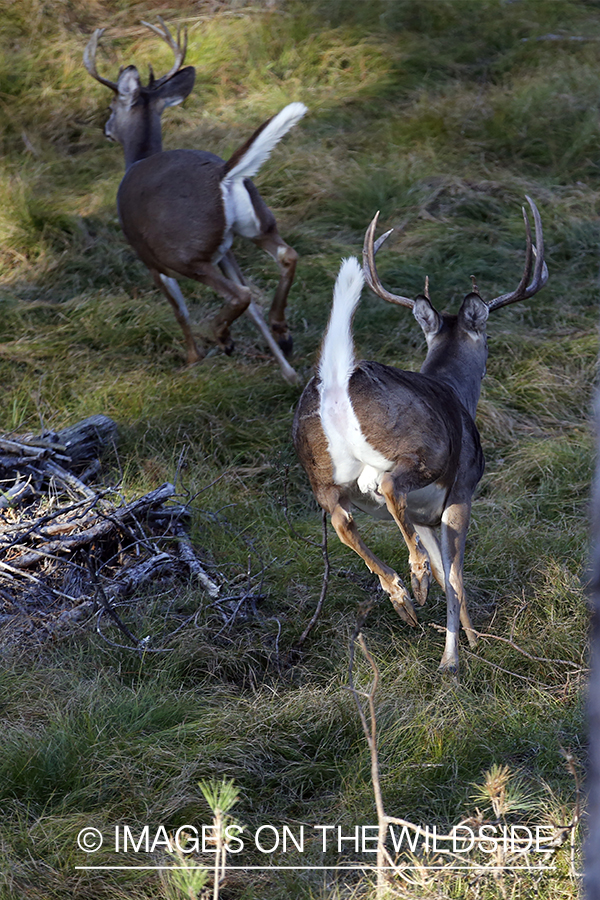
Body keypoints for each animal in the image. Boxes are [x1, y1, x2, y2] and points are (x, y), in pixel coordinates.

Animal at [82, 18, 308, 384]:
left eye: (111, 108)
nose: (105, 129)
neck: (137, 160)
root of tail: (223, 175)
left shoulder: (148, 257)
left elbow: (179, 310)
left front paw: (191, 359)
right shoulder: (225, 251)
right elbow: (253, 311)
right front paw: (288, 372)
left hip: (183, 252)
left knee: (239, 294)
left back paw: (221, 337)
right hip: (255, 225)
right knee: (284, 257)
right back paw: (281, 333)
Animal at [292, 199, 548, 676]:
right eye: (487, 338)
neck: (453, 390)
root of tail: (336, 379)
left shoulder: (427, 515)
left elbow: (451, 576)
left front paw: (470, 638)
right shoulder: (462, 489)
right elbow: (457, 576)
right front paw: (454, 657)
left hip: (321, 476)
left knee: (341, 520)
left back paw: (401, 596)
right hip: (424, 452)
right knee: (391, 486)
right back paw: (416, 578)